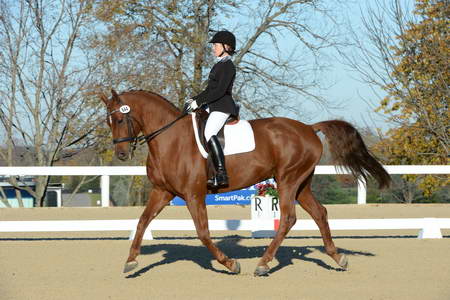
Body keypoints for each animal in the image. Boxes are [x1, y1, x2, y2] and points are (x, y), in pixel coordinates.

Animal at [99, 89, 390, 276]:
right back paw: (337, 257)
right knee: (320, 213)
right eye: (109, 120)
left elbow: (203, 232)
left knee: (288, 218)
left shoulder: (193, 194)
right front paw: (130, 262)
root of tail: (309, 128)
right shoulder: (162, 191)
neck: (170, 139)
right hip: (301, 183)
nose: (121, 154)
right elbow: (142, 222)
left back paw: (263, 263)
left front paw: (230, 263)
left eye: (121, 118)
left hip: (287, 180)